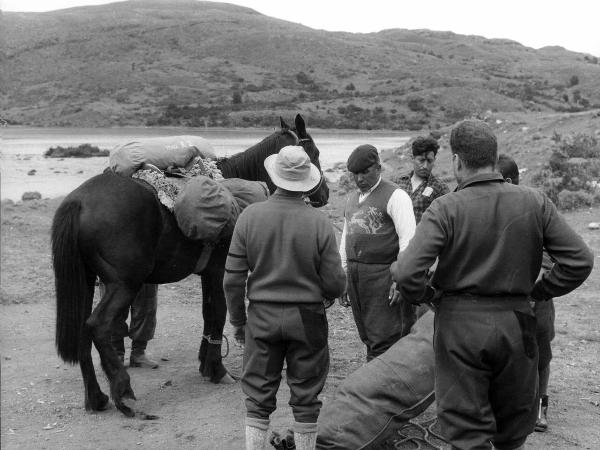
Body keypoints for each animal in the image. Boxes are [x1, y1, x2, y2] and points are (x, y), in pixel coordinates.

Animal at [50, 114, 328, 416]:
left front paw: (205, 364)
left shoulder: (208, 274)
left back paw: (96, 397)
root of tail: (78, 201)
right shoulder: (220, 272)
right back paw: (123, 392)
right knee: (98, 326)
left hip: (88, 280)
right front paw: (217, 370)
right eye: (314, 153)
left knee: (82, 329)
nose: (324, 193)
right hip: (123, 284)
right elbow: (218, 315)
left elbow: (208, 314)